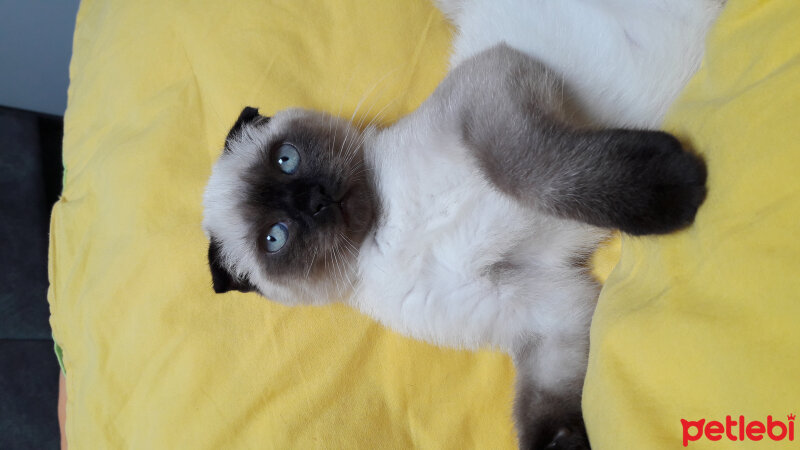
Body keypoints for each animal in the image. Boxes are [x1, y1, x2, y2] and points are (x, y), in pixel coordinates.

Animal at [203, 0, 720, 446]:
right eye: (274, 238)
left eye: (286, 159)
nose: (315, 200)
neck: (383, 233)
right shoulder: (550, 310)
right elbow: (546, 406)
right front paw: (565, 443)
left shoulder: (491, 89)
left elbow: (523, 174)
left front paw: (675, 192)